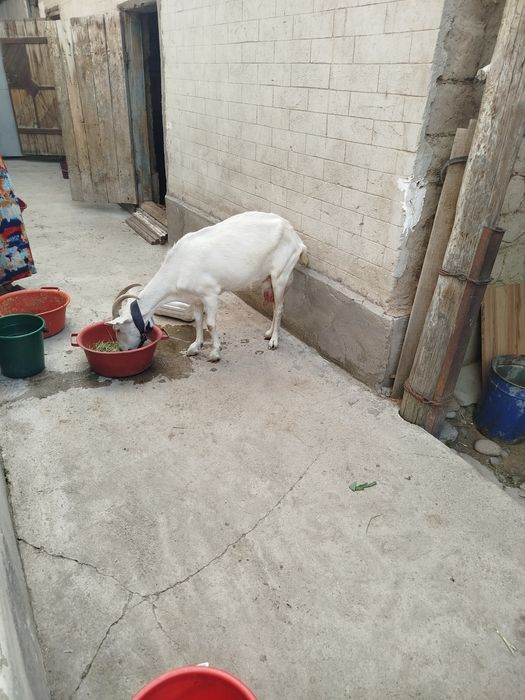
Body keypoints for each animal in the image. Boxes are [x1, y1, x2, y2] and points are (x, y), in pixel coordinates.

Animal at [110, 211, 306, 361]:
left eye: (118, 328)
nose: (123, 350)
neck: (179, 266)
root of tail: (295, 236)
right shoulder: (195, 298)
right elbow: (198, 320)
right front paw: (195, 347)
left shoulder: (210, 295)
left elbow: (211, 324)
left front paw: (214, 353)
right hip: (271, 279)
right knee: (275, 305)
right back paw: (268, 333)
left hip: (281, 275)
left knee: (279, 308)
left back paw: (273, 341)